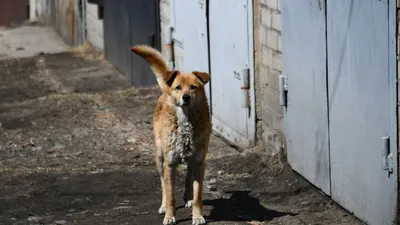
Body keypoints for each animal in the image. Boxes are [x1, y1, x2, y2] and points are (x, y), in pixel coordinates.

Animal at [131, 44, 212, 224]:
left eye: (193, 87)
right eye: (178, 88)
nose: (186, 97)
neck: (186, 122)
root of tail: (165, 89)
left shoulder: (199, 162)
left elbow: (198, 195)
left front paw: (198, 216)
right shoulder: (170, 164)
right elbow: (170, 195)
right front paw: (169, 216)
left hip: (191, 159)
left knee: (188, 177)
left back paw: (188, 198)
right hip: (160, 156)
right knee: (163, 184)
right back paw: (163, 206)